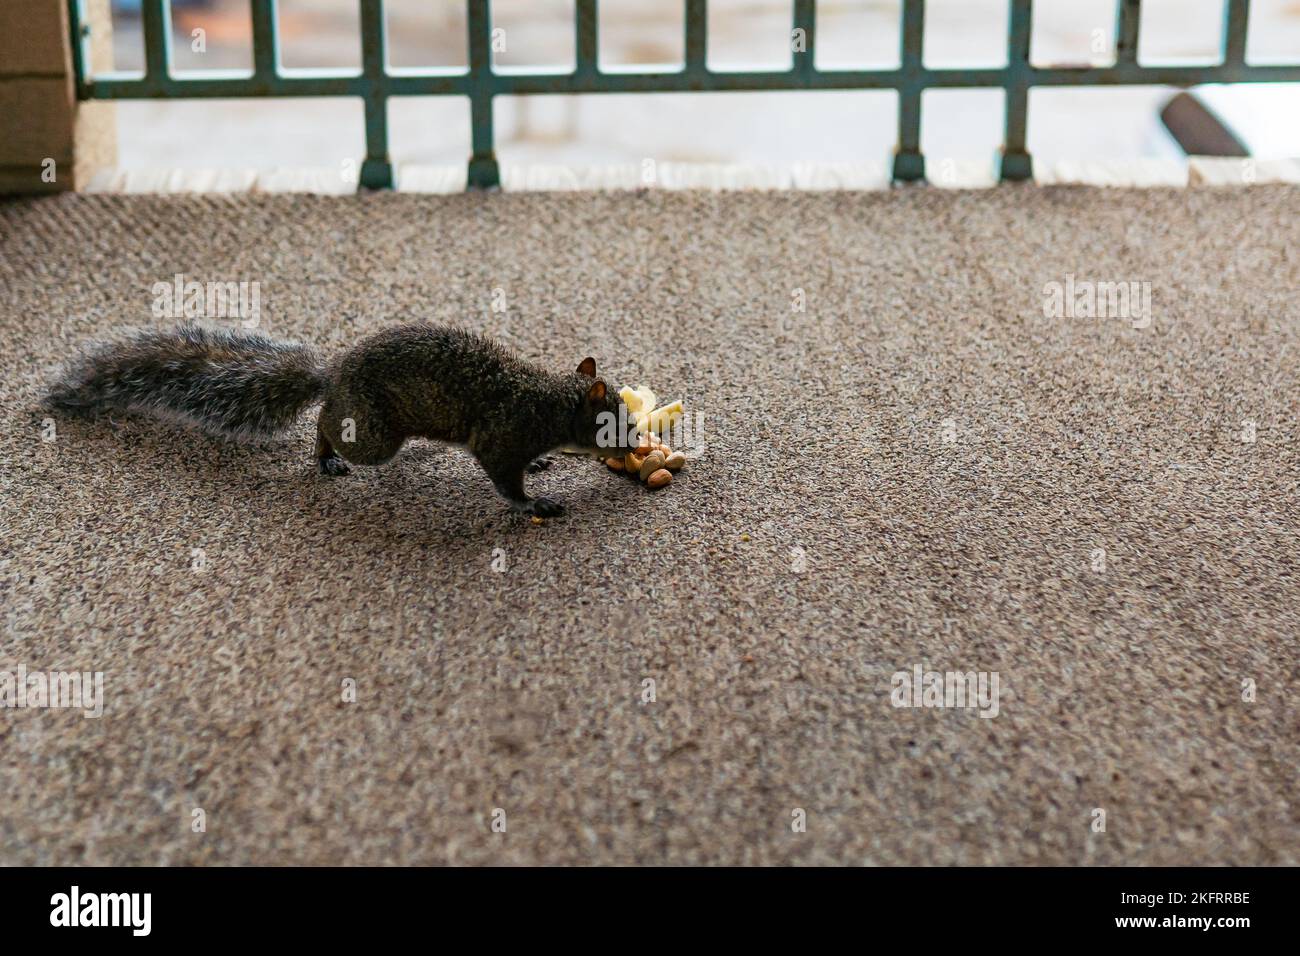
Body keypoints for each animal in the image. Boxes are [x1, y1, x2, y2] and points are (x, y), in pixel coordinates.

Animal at [48, 323, 637, 520]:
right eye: (614, 426)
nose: (634, 448)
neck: (548, 401)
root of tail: (330, 376)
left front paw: (540, 467)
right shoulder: (502, 435)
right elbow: (504, 480)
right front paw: (535, 503)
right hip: (373, 435)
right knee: (326, 425)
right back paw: (325, 458)